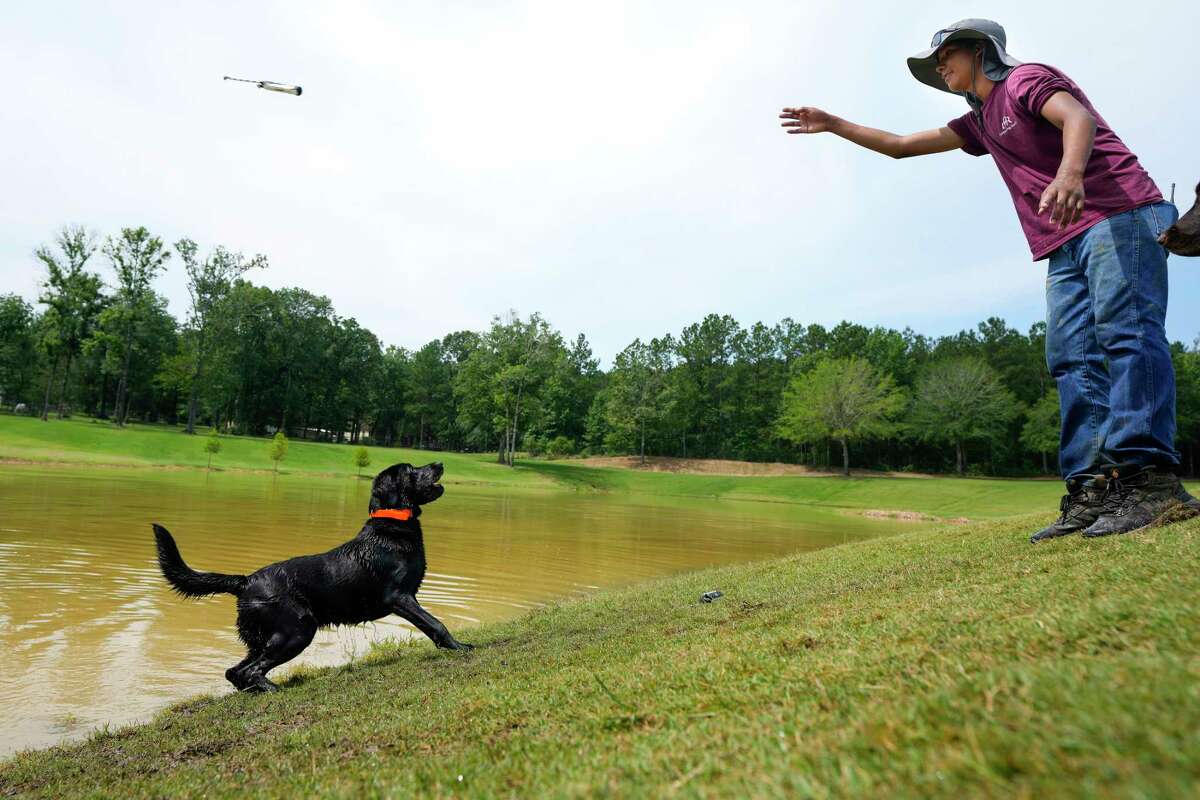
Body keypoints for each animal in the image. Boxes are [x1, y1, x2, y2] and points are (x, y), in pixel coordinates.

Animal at [150, 462, 468, 695]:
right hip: (297, 630)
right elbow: (435, 624)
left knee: (236, 671)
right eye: (412, 469)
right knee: (250, 670)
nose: (439, 463)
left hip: (266, 637)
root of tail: (246, 580)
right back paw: (274, 690)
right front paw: (460, 648)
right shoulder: (399, 597)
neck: (391, 526)